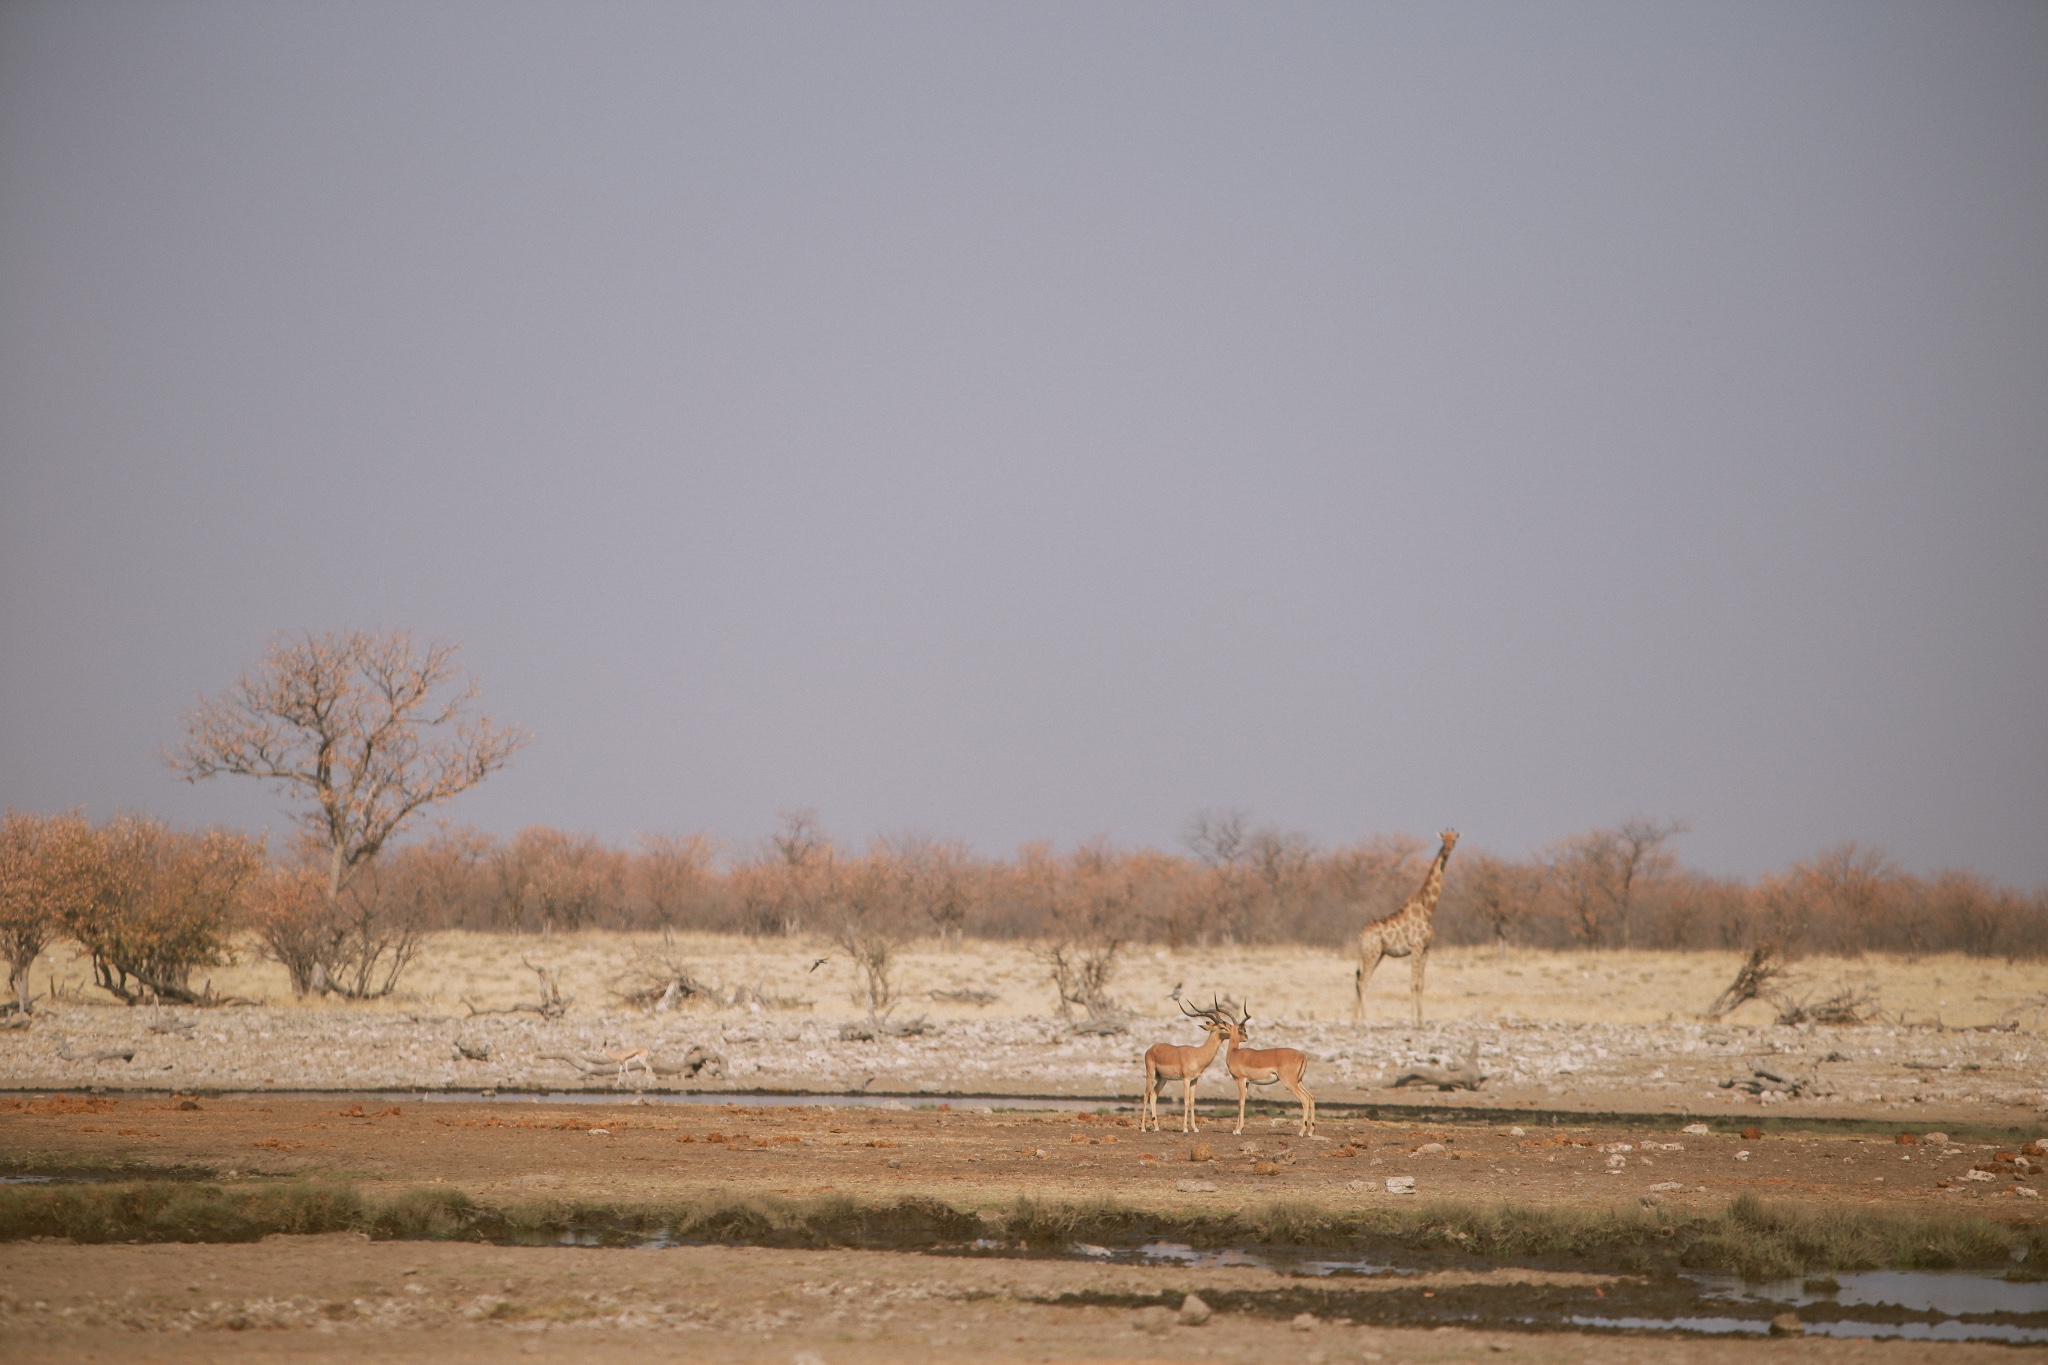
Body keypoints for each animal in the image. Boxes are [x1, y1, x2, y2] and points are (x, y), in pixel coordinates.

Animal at [1146, 998, 1220, 1137]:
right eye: (1222, 1026)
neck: (1197, 1054)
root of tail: (1151, 1048)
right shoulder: (1185, 1079)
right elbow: (1186, 1101)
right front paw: (1185, 1129)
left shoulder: (1195, 1080)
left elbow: (1192, 1102)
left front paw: (1195, 1128)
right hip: (1151, 1075)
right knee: (1147, 1094)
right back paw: (1146, 1127)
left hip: (1162, 1079)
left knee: (1153, 1094)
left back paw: (1156, 1127)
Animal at [1212, 1002, 1310, 1146]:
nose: (1246, 1037)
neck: (1235, 1054)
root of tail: (1302, 1055)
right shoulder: (1247, 1082)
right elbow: (1242, 1101)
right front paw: (1237, 1129)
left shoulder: (1240, 1080)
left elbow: (1241, 1102)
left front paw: (1237, 1130)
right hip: (1299, 1081)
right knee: (1310, 1097)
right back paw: (1310, 1132)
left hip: (1290, 1083)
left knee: (1305, 1099)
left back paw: (1301, 1132)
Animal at [1351, 834, 1466, 1023]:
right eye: (1444, 840)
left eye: (1454, 840)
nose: (1447, 851)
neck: (1427, 911)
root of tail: (1361, 935)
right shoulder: (1416, 947)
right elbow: (1413, 983)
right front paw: (1413, 1018)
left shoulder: (1426, 949)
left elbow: (1421, 984)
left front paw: (1421, 1018)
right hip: (1371, 952)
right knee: (1362, 981)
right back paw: (1366, 1019)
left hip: (1378, 953)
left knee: (1360, 979)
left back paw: (1354, 1019)